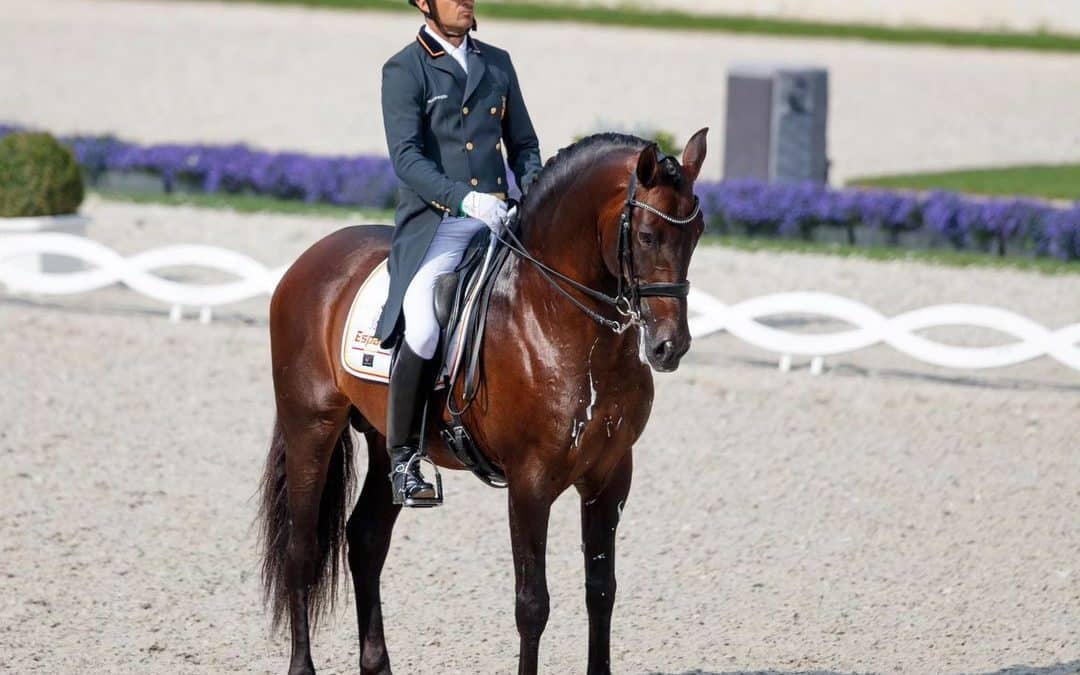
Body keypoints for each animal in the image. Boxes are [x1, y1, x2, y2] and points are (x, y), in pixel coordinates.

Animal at [259, 127, 708, 673]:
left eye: (697, 232)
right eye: (645, 236)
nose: (670, 346)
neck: (557, 317)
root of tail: (311, 259)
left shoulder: (610, 475)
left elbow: (601, 591)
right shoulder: (530, 482)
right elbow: (532, 605)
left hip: (387, 441)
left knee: (365, 540)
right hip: (311, 426)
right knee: (302, 547)